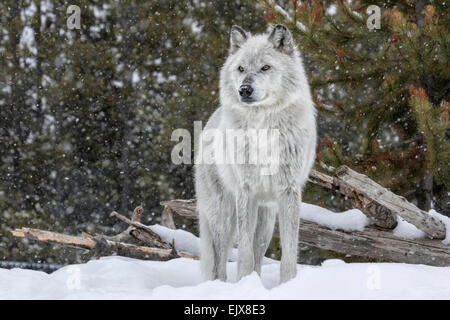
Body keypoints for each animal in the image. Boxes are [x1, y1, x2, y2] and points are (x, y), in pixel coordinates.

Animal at [194, 25, 316, 284]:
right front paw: (243, 282)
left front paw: (288, 284)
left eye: (265, 68)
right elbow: (244, 253)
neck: (263, 128)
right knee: (219, 262)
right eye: (241, 69)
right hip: (223, 215)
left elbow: (289, 251)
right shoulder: (246, 191)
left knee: (259, 250)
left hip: (266, 219)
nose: (244, 90)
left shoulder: (288, 191)